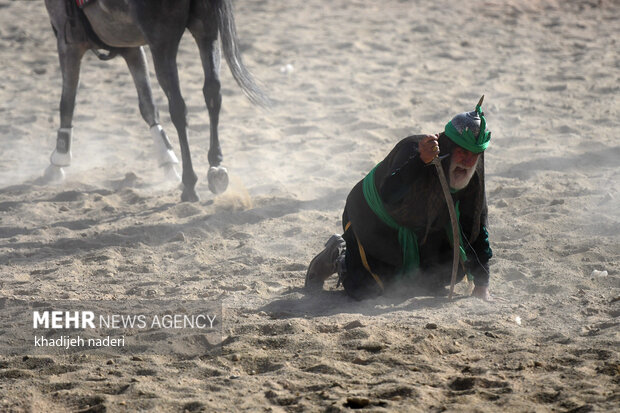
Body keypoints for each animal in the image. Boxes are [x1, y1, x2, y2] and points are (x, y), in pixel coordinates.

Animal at [43, 0, 266, 200]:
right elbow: (148, 105)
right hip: (206, 32)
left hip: (162, 44)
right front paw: (167, 162)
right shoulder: (131, 47)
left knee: (178, 108)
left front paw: (58, 162)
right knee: (212, 92)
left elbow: (67, 104)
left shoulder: (68, 42)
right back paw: (216, 168)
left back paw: (189, 184)